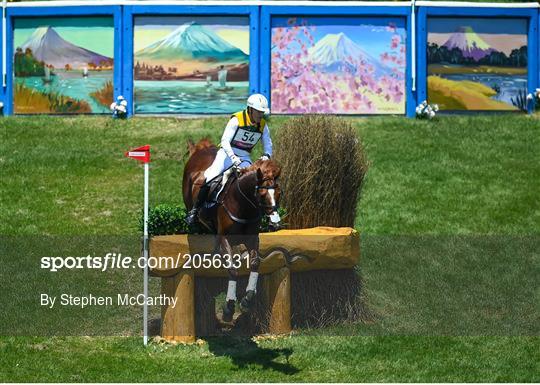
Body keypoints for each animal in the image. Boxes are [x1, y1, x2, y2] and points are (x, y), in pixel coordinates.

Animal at [182, 138, 282, 320]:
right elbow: (232, 269)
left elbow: (255, 262)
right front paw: (229, 307)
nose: (275, 223)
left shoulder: (252, 238)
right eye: (262, 195)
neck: (242, 205)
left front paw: (248, 299)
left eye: (279, 194)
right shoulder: (225, 238)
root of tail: (201, 150)